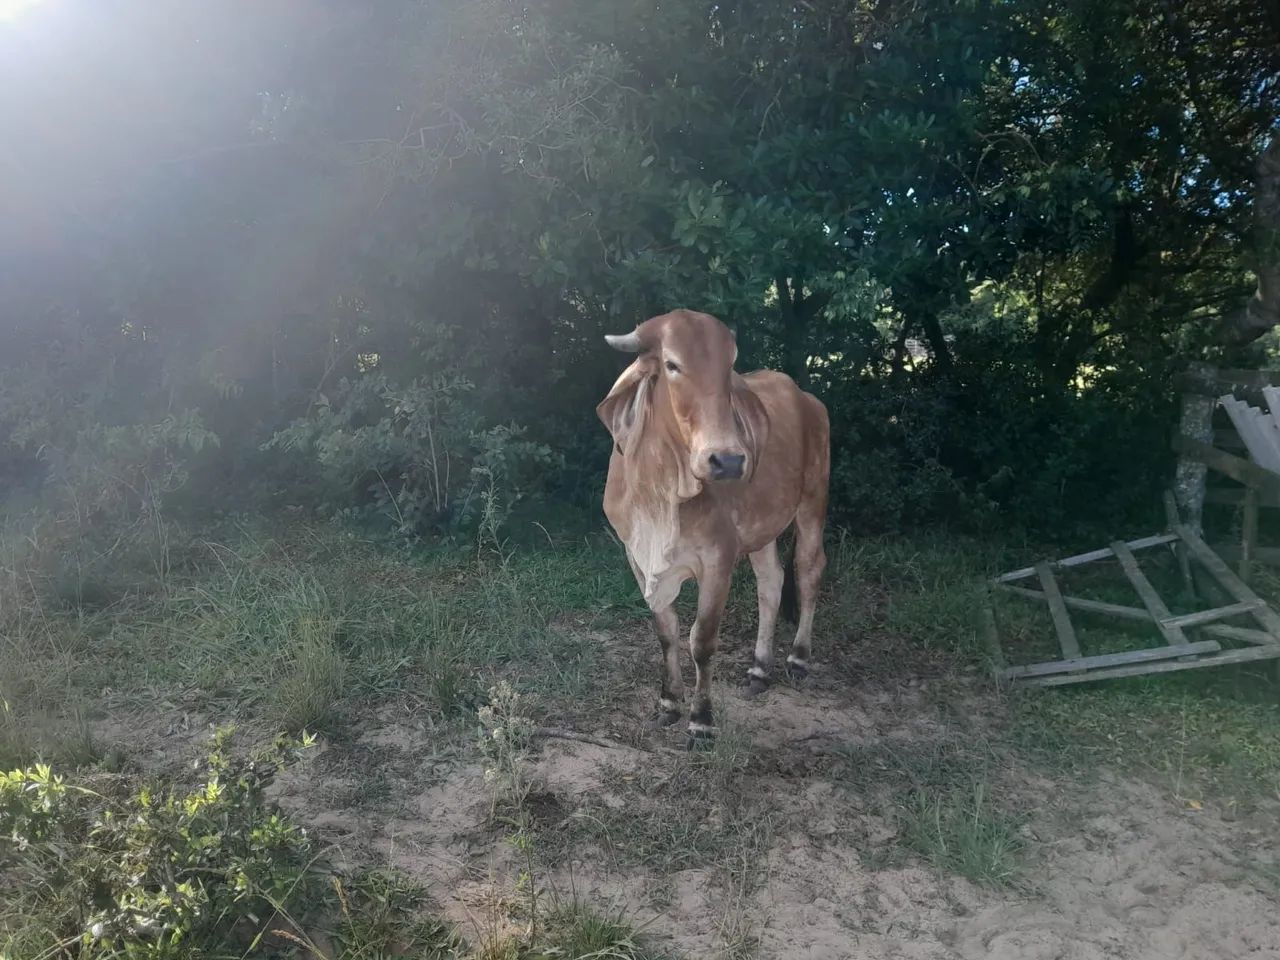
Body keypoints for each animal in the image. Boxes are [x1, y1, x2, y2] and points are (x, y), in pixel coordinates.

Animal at [596, 308, 831, 744]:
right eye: (672, 364)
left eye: (729, 368)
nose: (729, 460)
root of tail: (807, 398)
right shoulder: (637, 557)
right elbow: (667, 631)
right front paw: (669, 703)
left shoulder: (719, 557)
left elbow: (701, 640)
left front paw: (701, 720)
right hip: (762, 528)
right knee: (771, 582)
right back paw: (759, 669)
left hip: (813, 504)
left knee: (808, 571)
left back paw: (798, 658)